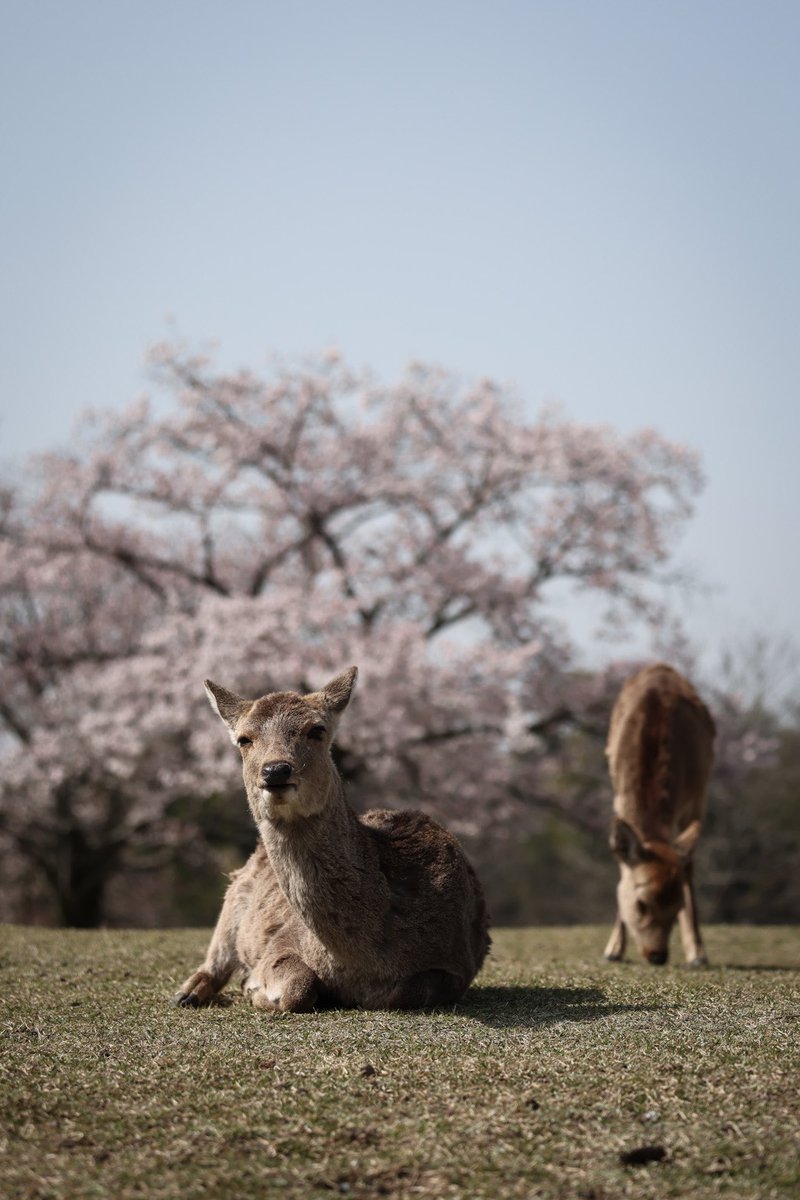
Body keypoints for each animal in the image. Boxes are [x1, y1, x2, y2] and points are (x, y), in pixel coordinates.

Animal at [173, 666, 490, 1011]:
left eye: (316, 730)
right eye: (244, 739)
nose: (276, 770)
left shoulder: (458, 963)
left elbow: (409, 991)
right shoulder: (281, 941)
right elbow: (298, 986)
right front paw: (253, 987)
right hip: (234, 894)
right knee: (216, 956)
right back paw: (187, 993)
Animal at [603, 663, 715, 967]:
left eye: (677, 905)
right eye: (641, 904)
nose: (657, 956)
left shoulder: (696, 796)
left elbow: (688, 867)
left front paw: (697, 952)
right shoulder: (619, 795)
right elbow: (621, 867)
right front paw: (613, 949)